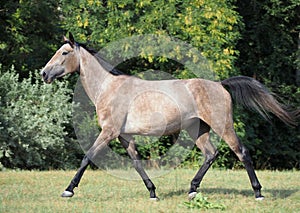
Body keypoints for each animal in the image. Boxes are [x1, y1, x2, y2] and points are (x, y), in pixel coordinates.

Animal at [40, 32, 298, 201]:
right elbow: (136, 163)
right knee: (210, 154)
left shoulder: (109, 132)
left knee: (241, 152)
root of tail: (220, 85)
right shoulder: (124, 136)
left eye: (64, 52)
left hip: (222, 126)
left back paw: (258, 192)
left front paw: (68, 190)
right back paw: (192, 190)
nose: (43, 73)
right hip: (198, 129)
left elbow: (87, 157)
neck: (108, 88)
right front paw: (153, 192)